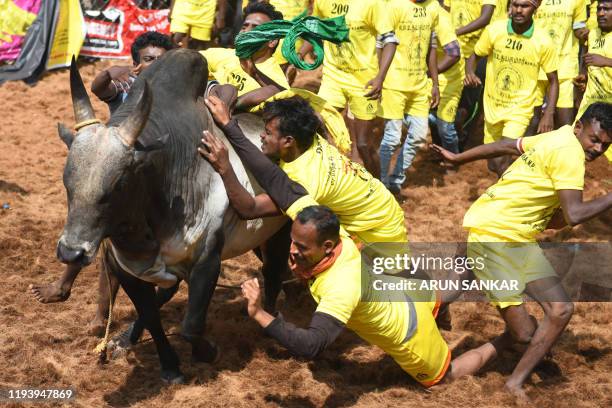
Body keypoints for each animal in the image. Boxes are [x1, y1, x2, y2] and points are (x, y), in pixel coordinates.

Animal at [55, 48, 290, 382]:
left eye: (119, 183)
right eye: (67, 178)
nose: (71, 252)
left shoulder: (207, 261)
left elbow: (191, 325)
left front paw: (208, 352)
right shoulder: (128, 268)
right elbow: (151, 314)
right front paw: (169, 365)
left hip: (280, 230)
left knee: (273, 273)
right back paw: (124, 339)